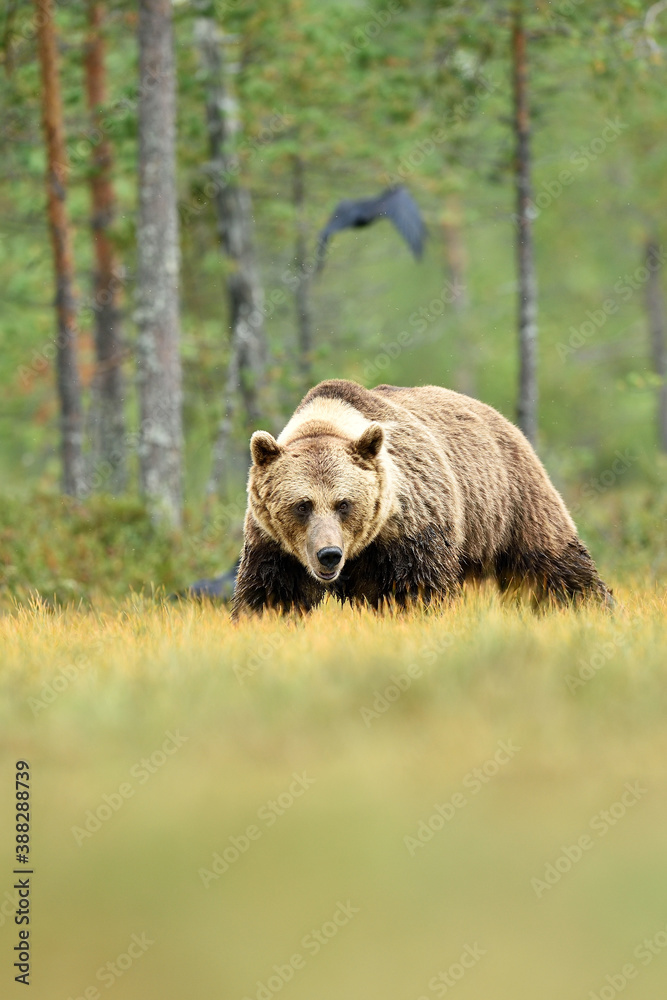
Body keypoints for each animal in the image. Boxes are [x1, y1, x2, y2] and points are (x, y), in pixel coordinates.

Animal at [231, 379, 612, 616]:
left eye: (344, 504)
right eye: (302, 505)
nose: (329, 555)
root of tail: (499, 418)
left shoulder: (411, 526)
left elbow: (418, 591)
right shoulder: (274, 545)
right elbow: (270, 596)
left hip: (509, 503)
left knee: (554, 565)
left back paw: (596, 608)